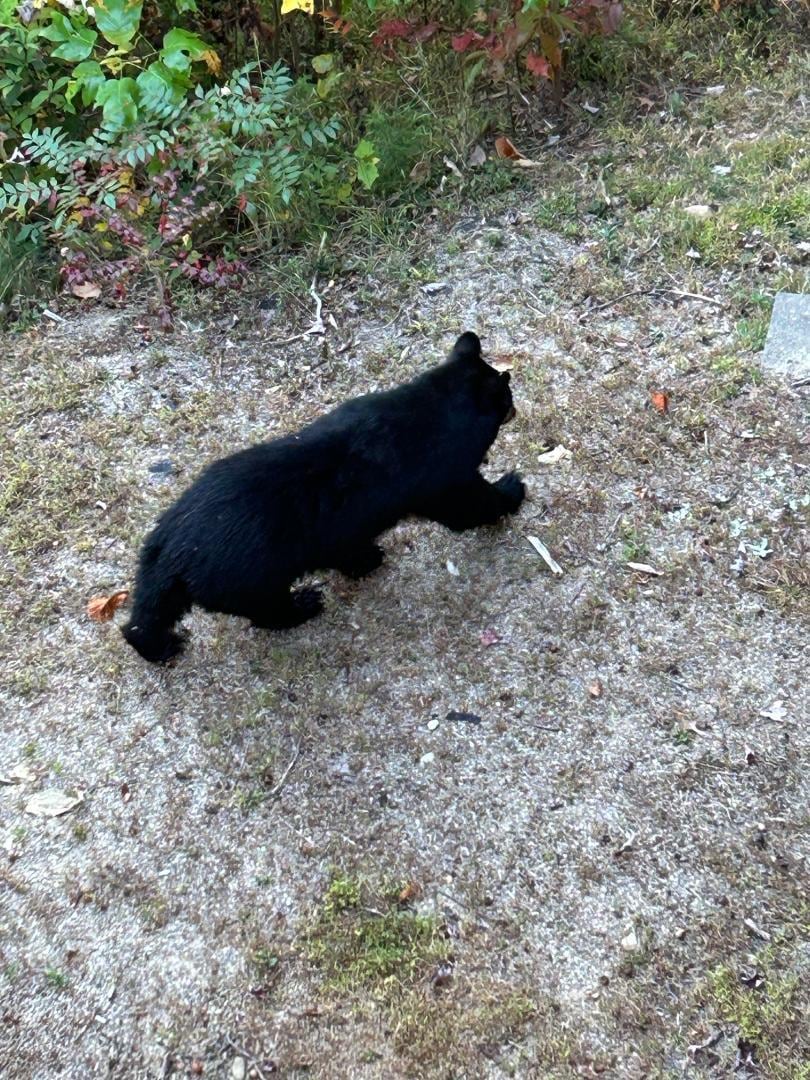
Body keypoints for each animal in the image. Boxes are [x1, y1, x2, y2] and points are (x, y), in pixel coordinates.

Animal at [122, 331, 524, 662]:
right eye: (507, 397)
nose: (515, 409)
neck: (432, 406)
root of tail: (176, 550)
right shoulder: (447, 481)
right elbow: (473, 505)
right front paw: (513, 487)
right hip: (253, 580)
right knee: (269, 611)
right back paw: (306, 602)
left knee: (148, 614)